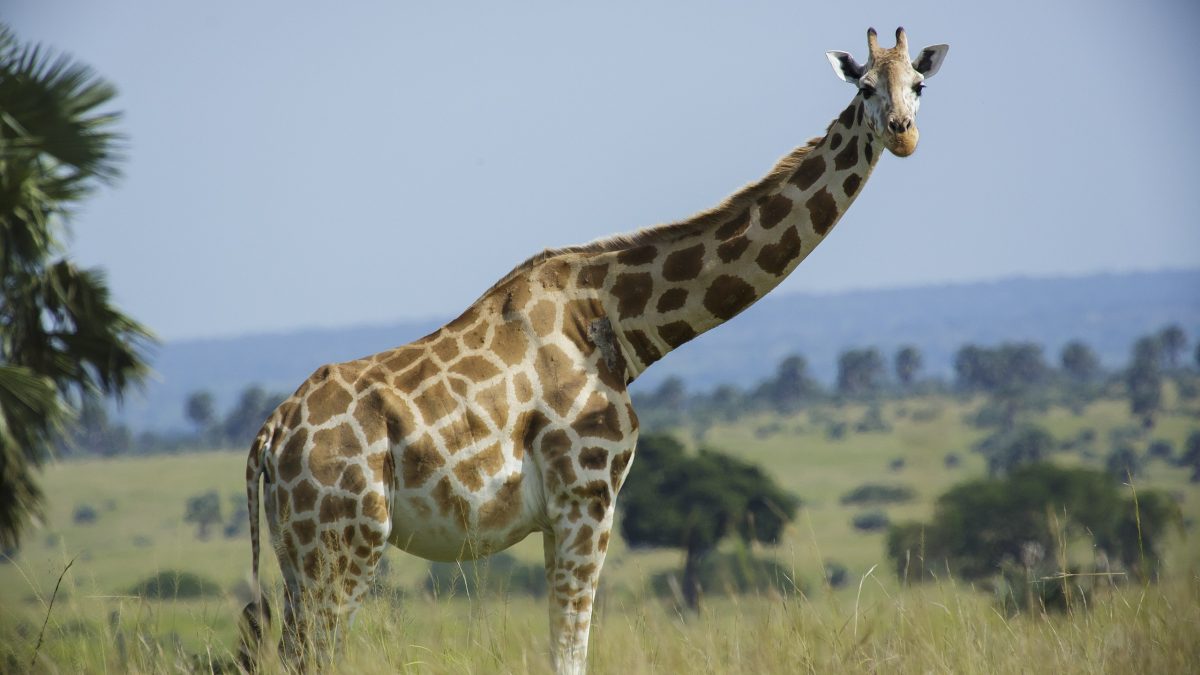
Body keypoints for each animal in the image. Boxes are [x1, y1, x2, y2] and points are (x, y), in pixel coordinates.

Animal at [241, 27, 945, 672]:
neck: (621, 325)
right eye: (864, 86)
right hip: (345, 542)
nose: (903, 134)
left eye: (918, 84)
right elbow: (570, 652)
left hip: (299, 554)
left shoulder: (565, 513)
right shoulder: (587, 495)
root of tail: (270, 437)